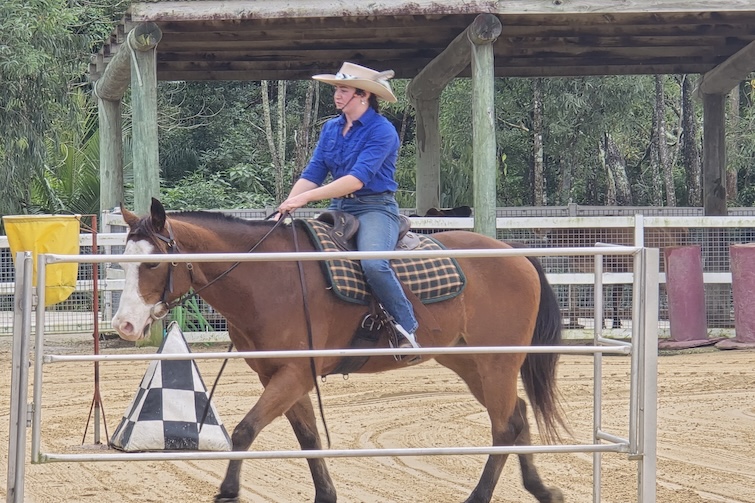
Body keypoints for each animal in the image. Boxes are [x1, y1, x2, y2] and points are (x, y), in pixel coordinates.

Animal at [112, 198, 567, 503]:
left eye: (152, 264)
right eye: (123, 263)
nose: (124, 325)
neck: (267, 278)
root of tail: (517, 255)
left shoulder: (295, 374)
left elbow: (245, 430)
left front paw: (227, 491)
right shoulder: (282, 376)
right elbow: (308, 436)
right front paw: (326, 494)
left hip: (497, 362)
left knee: (505, 425)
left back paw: (481, 495)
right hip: (470, 362)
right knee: (517, 416)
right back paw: (541, 489)